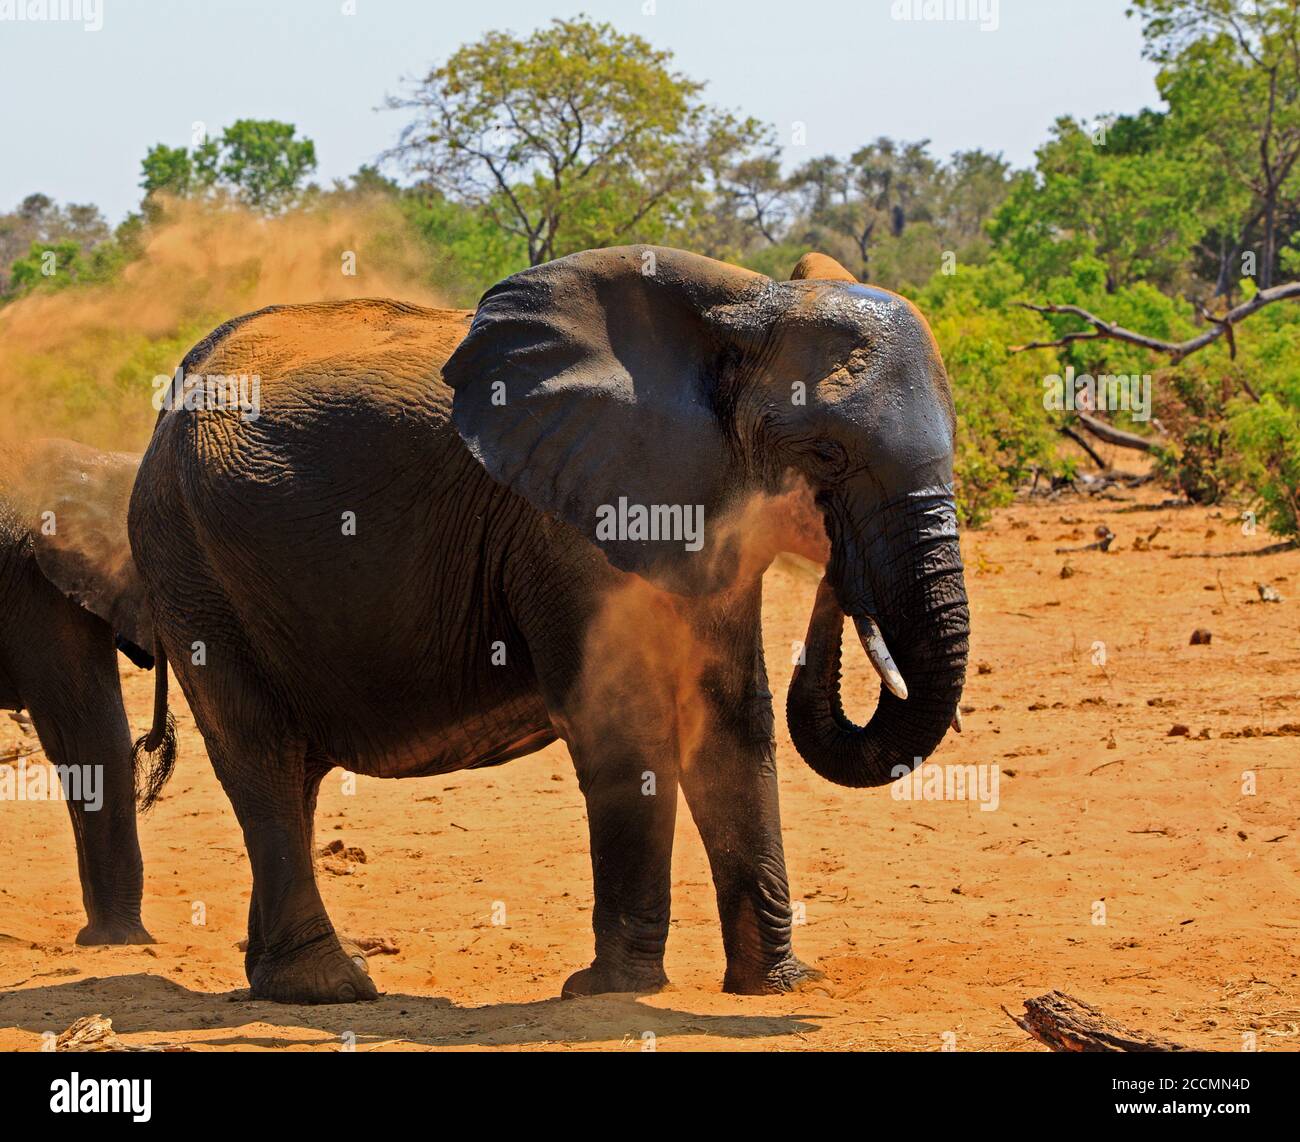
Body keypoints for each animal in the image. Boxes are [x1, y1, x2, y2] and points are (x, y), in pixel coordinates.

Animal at [127, 245, 969, 1004]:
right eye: (827, 454)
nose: (838, 566)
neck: (741, 309)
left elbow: (731, 720)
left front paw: (778, 986)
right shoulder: (564, 518)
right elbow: (621, 721)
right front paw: (611, 989)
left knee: (292, 773)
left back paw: (278, 982)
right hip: (191, 564)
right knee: (260, 755)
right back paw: (331, 988)